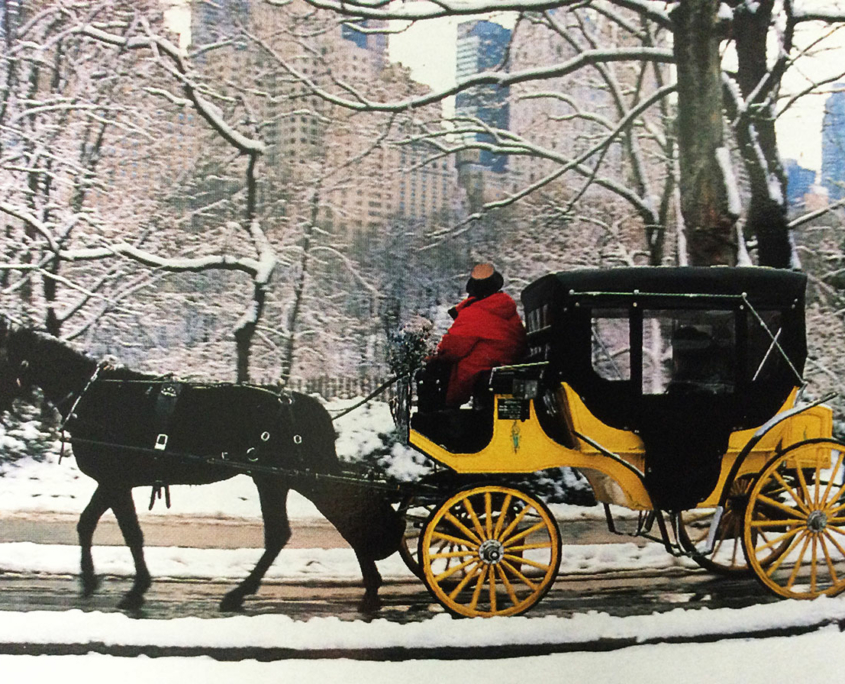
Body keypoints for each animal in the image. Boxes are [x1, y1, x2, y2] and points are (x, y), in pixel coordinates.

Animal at [0, 318, 404, 612]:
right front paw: (90, 579)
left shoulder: (116, 482)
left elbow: (130, 534)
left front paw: (134, 589)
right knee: (289, 532)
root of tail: (304, 404)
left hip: (285, 479)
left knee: (333, 518)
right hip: (276, 480)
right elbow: (87, 524)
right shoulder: (112, 482)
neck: (98, 395)